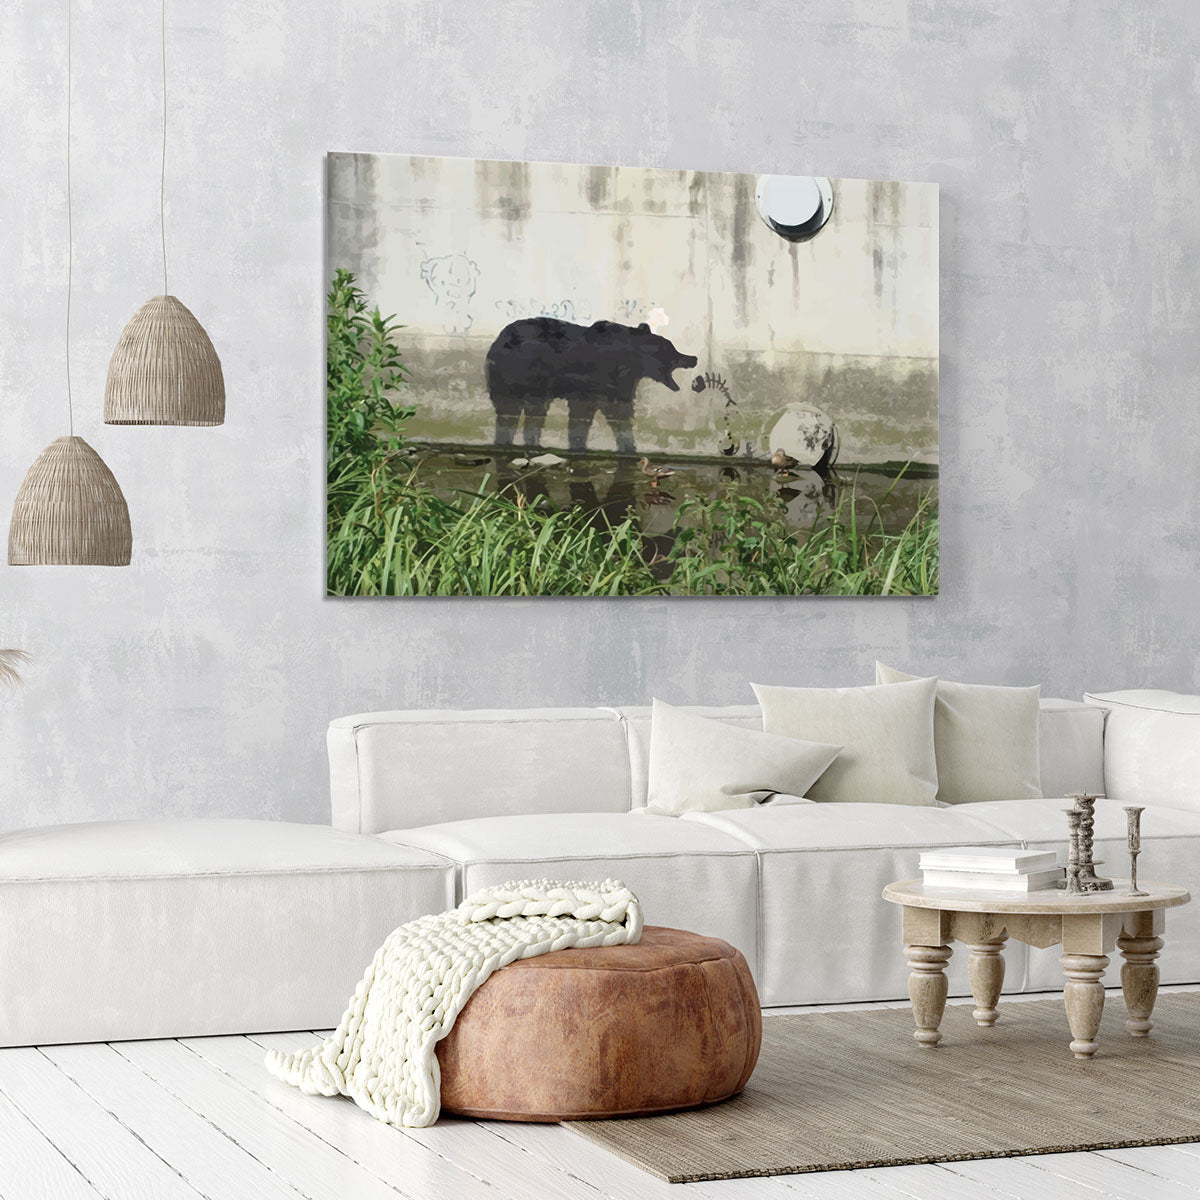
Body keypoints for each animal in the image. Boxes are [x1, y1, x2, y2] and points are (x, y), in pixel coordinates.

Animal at [485, 317, 698, 454]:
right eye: (673, 350)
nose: (693, 358)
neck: (631, 360)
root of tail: (496, 342)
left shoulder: (615, 384)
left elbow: (617, 412)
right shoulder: (594, 381)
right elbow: (598, 413)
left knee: (533, 414)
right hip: (514, 377)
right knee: (508, 412)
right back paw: (505, 442)